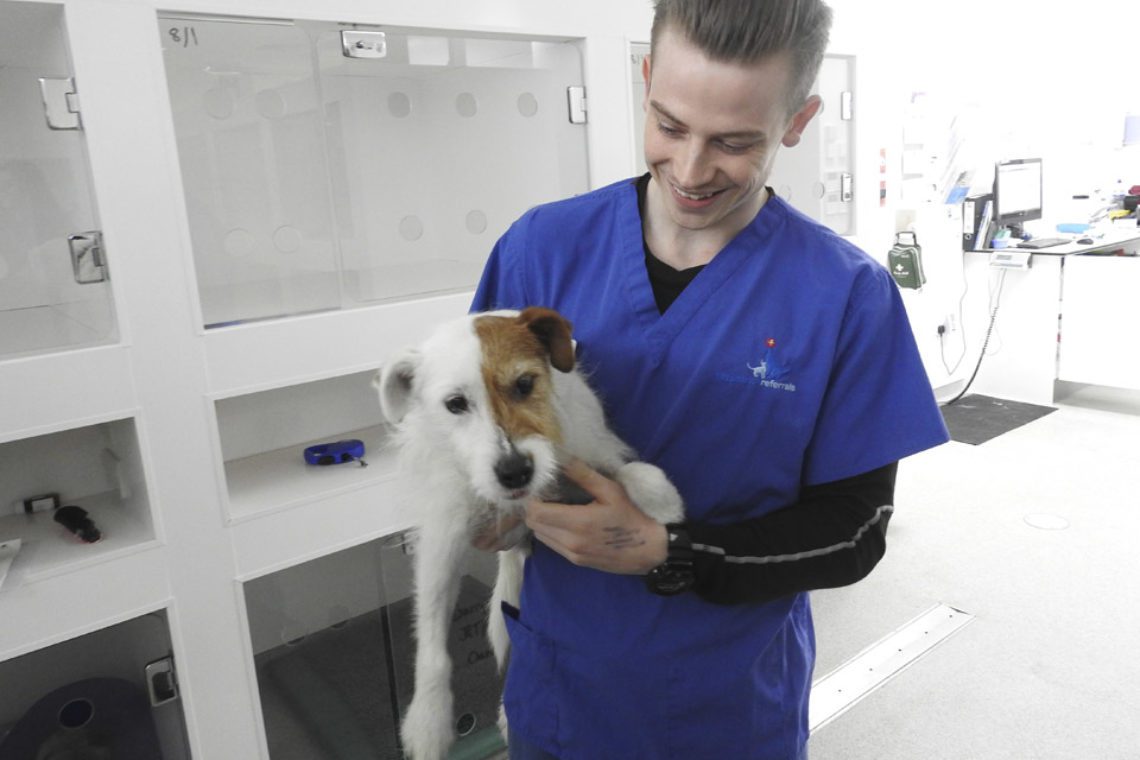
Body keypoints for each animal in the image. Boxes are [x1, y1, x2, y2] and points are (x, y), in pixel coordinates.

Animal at [373, 307, 679, 760]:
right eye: (455, 404)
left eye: (524, 384)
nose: (515, 471)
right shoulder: (444, 538)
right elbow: (432, 640)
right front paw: (428, 722)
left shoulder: (586, 460)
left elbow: (629, 471)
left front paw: (662, 501)